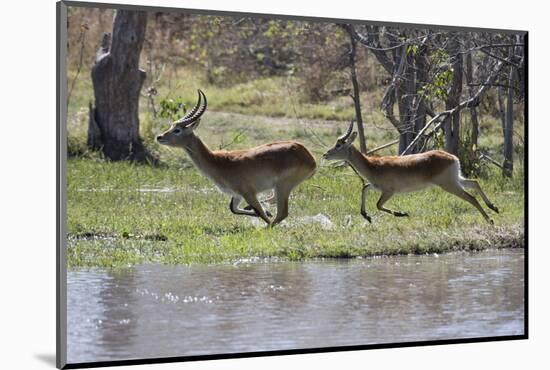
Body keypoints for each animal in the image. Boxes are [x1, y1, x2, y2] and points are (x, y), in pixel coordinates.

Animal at [155, 91, 320, 227]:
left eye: (177, 130)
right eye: (172, 126)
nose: (159, 137)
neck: (217, 161)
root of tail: (309, 156)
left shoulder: (248, 192)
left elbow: (259, 212)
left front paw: (264, 215)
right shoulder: (237, 195)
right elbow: (233, 209)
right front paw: (262, 211)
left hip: (282, 186)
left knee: (281, 213)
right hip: (279, 188)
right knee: (273, 203)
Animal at [324, 121, 500, 224]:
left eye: (339, 145)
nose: (325, 154)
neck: (372, 165)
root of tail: (452, 157)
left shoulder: (389, 191)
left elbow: (378, 205)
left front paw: (402, 214)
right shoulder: (376, 187)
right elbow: (365, 187)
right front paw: (366, 216)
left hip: (448, 184)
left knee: (471, 197)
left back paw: (490, 219)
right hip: (456, 179)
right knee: (474, 183)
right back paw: (494, 208)